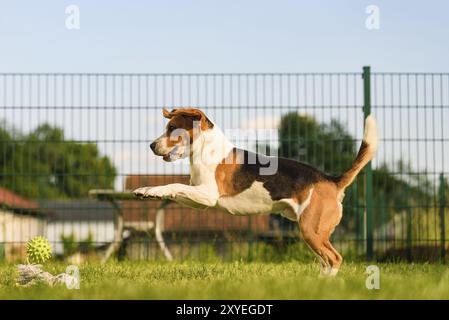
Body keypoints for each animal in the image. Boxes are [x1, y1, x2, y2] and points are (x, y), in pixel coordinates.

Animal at [134, 108, 378, 276]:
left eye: (172, 129)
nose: (151, 146)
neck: (206, 150)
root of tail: (331, 180)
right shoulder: (199, 200)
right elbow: (175, 191)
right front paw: (148, 191)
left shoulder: (208, 195)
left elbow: (174, 185)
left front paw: (152, 189)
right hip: (314, 233)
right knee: (325, 261)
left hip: (311, 230)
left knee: (334, 259)